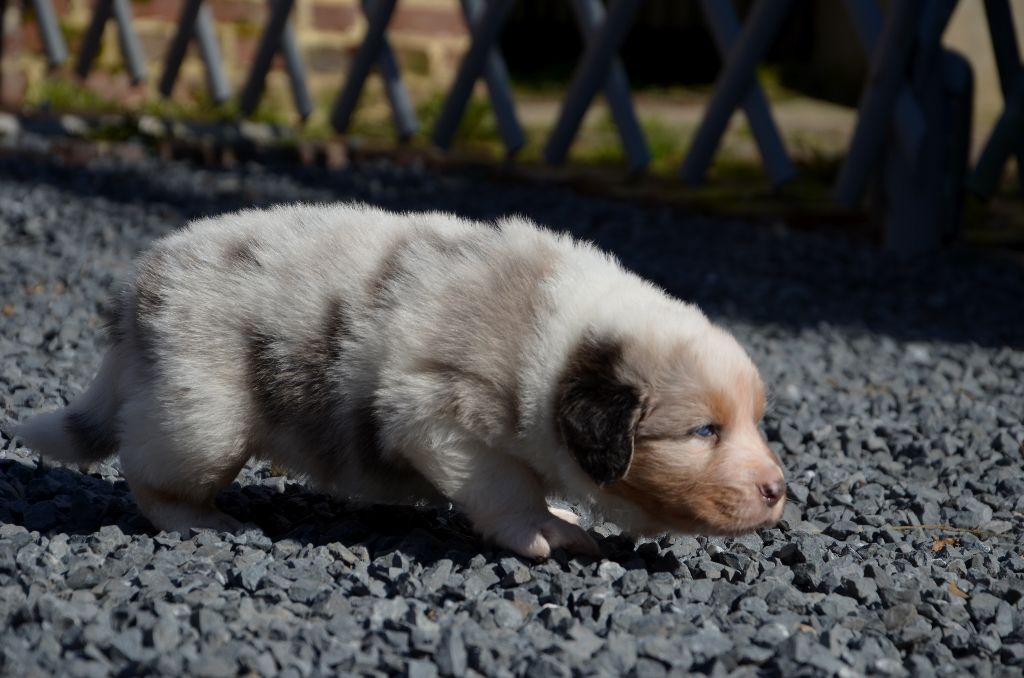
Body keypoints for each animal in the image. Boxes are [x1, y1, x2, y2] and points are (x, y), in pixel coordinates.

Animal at [18, 203, 785, 558]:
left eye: (753, 422)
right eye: (703, 431)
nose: (779, 491)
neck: (558, 338)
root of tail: (136, 292)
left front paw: (562, 513)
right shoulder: (437, 415)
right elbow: (507, 487)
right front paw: (547, 528)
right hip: (203, 417)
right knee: (150, 477)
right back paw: (204, 520)